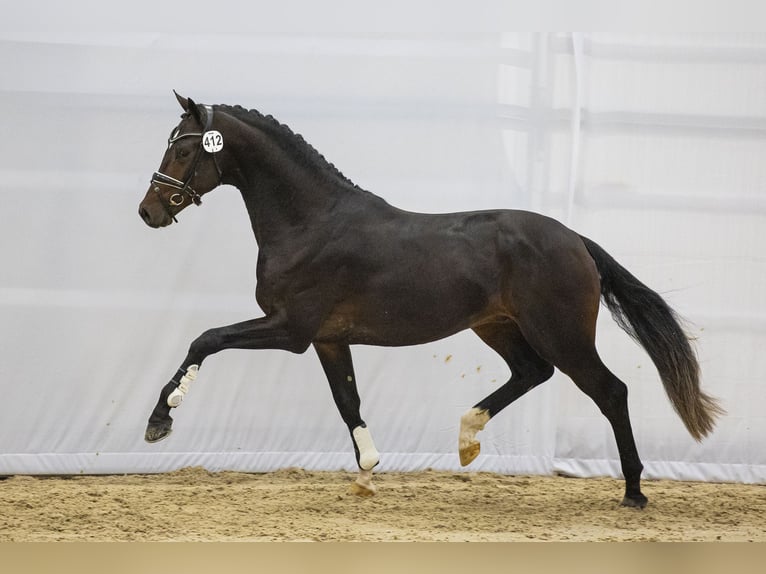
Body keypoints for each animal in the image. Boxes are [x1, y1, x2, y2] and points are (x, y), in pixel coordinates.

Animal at [138, 92, 723, 508]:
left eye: (184, 149)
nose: (149, 211)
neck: (312, 223)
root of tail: (575, 239)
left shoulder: (291, 329)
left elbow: (206, 338)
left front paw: (161, 419)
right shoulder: (327, 340)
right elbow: (347, 401)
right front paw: (367, 473)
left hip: (562, 334)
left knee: (611, 391)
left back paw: (634, 493)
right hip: (497, 326)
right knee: (532, 373)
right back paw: (467, 439)